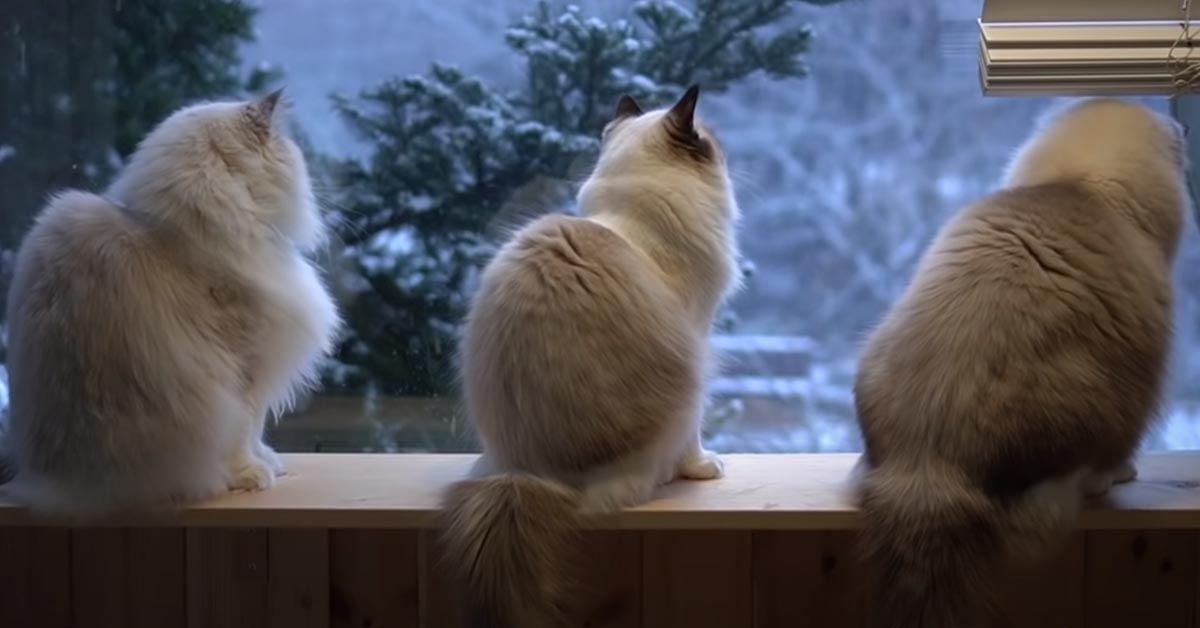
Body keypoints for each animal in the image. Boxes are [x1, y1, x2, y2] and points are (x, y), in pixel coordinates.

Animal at [0, 90, 340, 518]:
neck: (184, 234)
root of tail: (52, 486)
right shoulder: (247, 367)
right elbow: (246, 430)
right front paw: (254, 473)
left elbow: (256, 433)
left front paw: (269, 461)